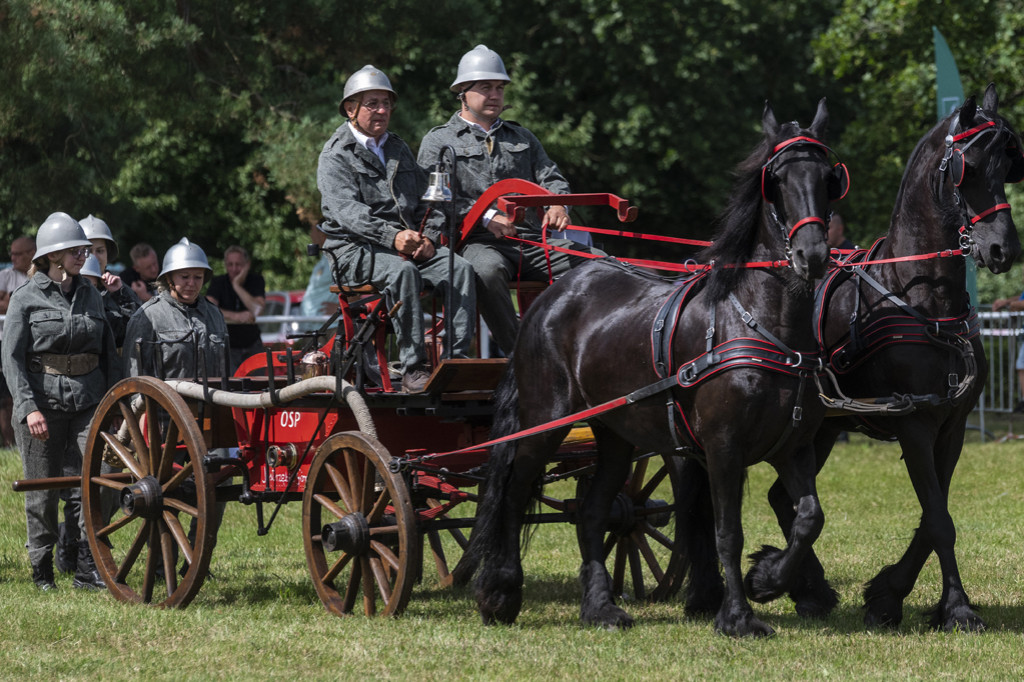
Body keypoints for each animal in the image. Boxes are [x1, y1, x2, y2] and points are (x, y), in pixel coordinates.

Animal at [468, 98, 843, 634]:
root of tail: (551, 297)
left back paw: (600, 607)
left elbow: (810, 518)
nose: (811, 254)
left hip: (616, 435)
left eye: (829, 177)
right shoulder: (723, 447)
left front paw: (768, 579)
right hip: (546, 420)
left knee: (592, 511)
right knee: (515, 491)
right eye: (776, 179)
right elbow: (728, 531)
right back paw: (499, 592)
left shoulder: (795, 446)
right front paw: (737, 616)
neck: (762, 321)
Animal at [684, 82, 1019, 630]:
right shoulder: (915, 423)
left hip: (818, 429)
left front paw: (890, 594)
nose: (1002, 249)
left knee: (783, 500)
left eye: (1009, 163)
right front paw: (955, 607)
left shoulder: (951, 426)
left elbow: (934, 516)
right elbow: (939, 519)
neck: (922, 297)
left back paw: (805, 586)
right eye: (966, 167)